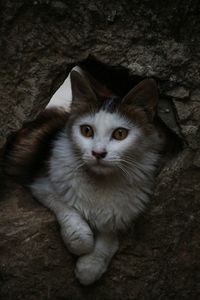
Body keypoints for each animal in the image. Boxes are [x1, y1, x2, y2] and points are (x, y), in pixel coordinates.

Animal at [3, 67, 164, 286]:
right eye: (86, 131)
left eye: (120, 134)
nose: (98, 153)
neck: (101, 182)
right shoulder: (42, 185)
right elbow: (70, 213)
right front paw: (82, 245)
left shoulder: (124, 213)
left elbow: (108, 237)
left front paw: (90, 267)